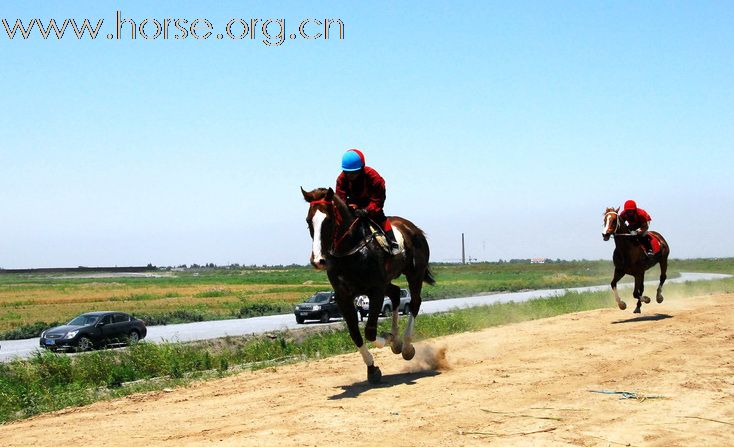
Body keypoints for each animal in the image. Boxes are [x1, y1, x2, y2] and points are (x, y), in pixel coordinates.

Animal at [300, 187, 434, 384]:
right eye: (309, 221)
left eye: (329, 220)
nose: (318, 260)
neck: (351, 253)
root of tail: (413, 228)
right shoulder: (343, 296)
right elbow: (355, 334)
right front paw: (372, 368)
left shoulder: (375, 290)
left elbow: (370, 331)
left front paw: (388, 339)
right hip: (387, 281)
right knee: (395, 293)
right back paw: (397, 340)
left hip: (414, 274)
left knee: (415, 303)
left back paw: (406, 345)